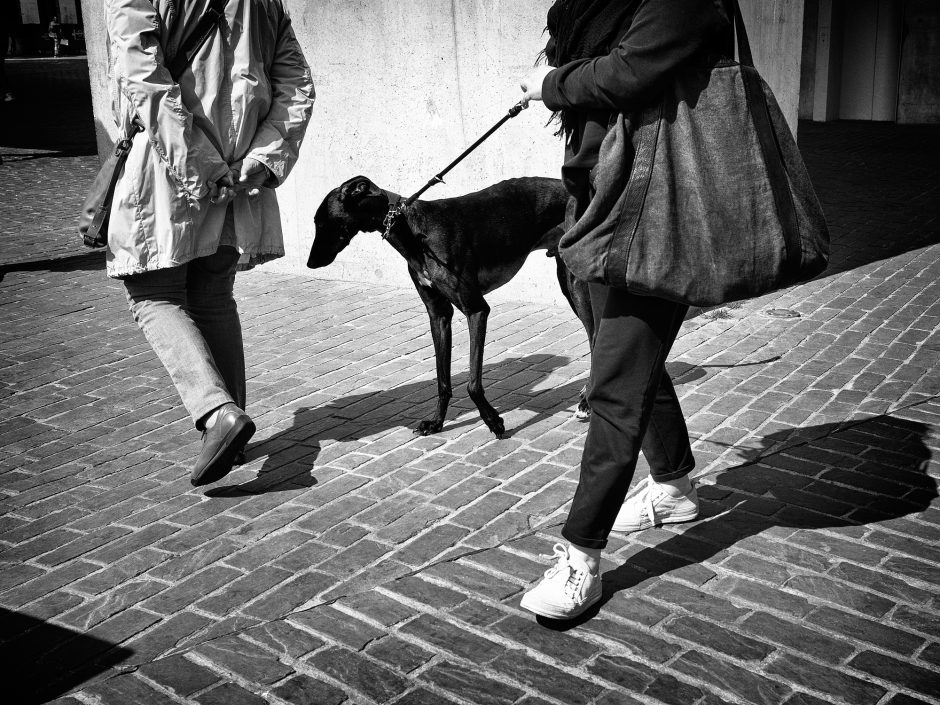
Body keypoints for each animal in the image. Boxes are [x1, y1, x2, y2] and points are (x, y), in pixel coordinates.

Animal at [304, 176, 592, 438]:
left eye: (320, 222)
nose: (309, 264)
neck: (413, 231)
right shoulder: (439, 315)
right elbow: (443, 380)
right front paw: (435, 423)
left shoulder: (476, 310)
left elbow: (473, 384)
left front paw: (493, 421)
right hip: (567, 282)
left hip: (577, 287)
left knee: (595, 336)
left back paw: (587, 402)